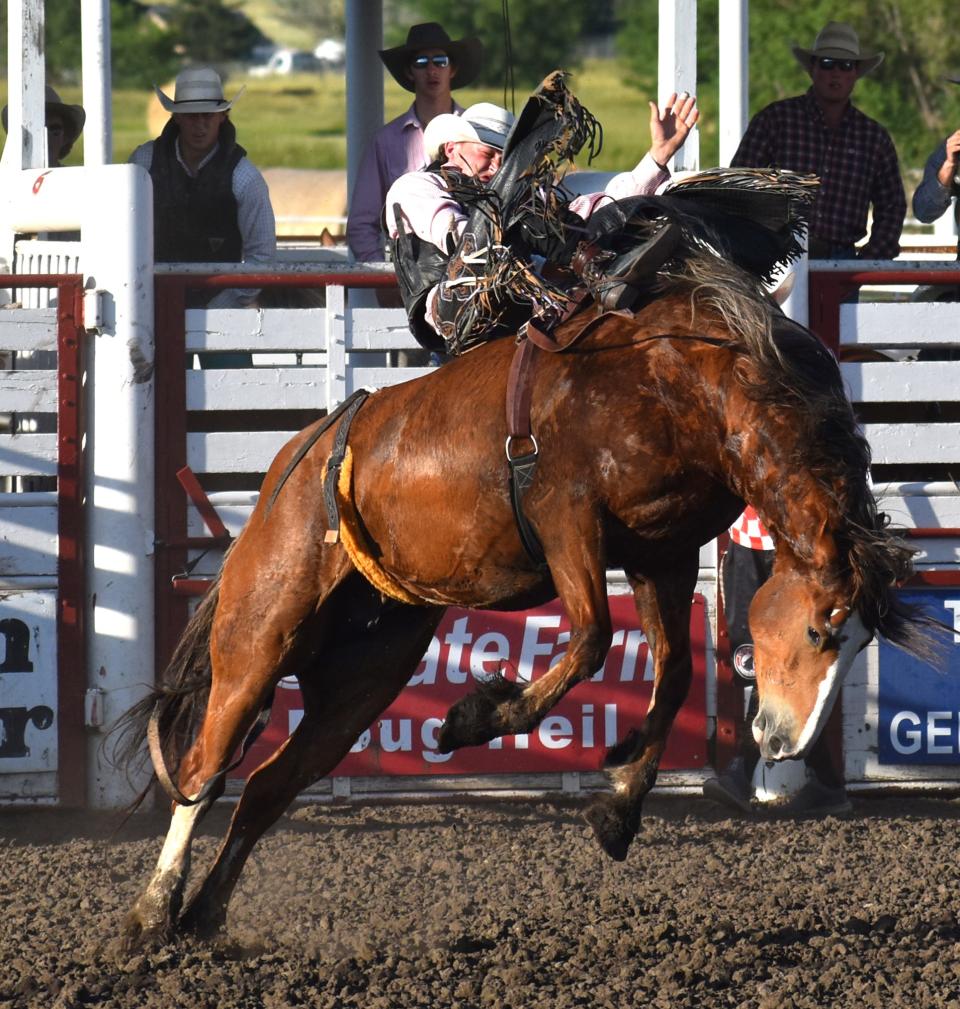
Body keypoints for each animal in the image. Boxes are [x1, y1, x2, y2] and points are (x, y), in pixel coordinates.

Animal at [114, 250, 932, 944]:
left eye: (861, 641)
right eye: (823, 629)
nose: (785, 740)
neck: (690, 376)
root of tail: (300, 457)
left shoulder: (661, 554)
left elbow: (672, 675)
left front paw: (619, 804)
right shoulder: (567, 518)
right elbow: (593, 639)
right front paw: (473, 718)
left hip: (362, 675)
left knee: (264, 787)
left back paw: (204, 916)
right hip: (261, 632)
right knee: (203, 769)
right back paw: (153, 911)